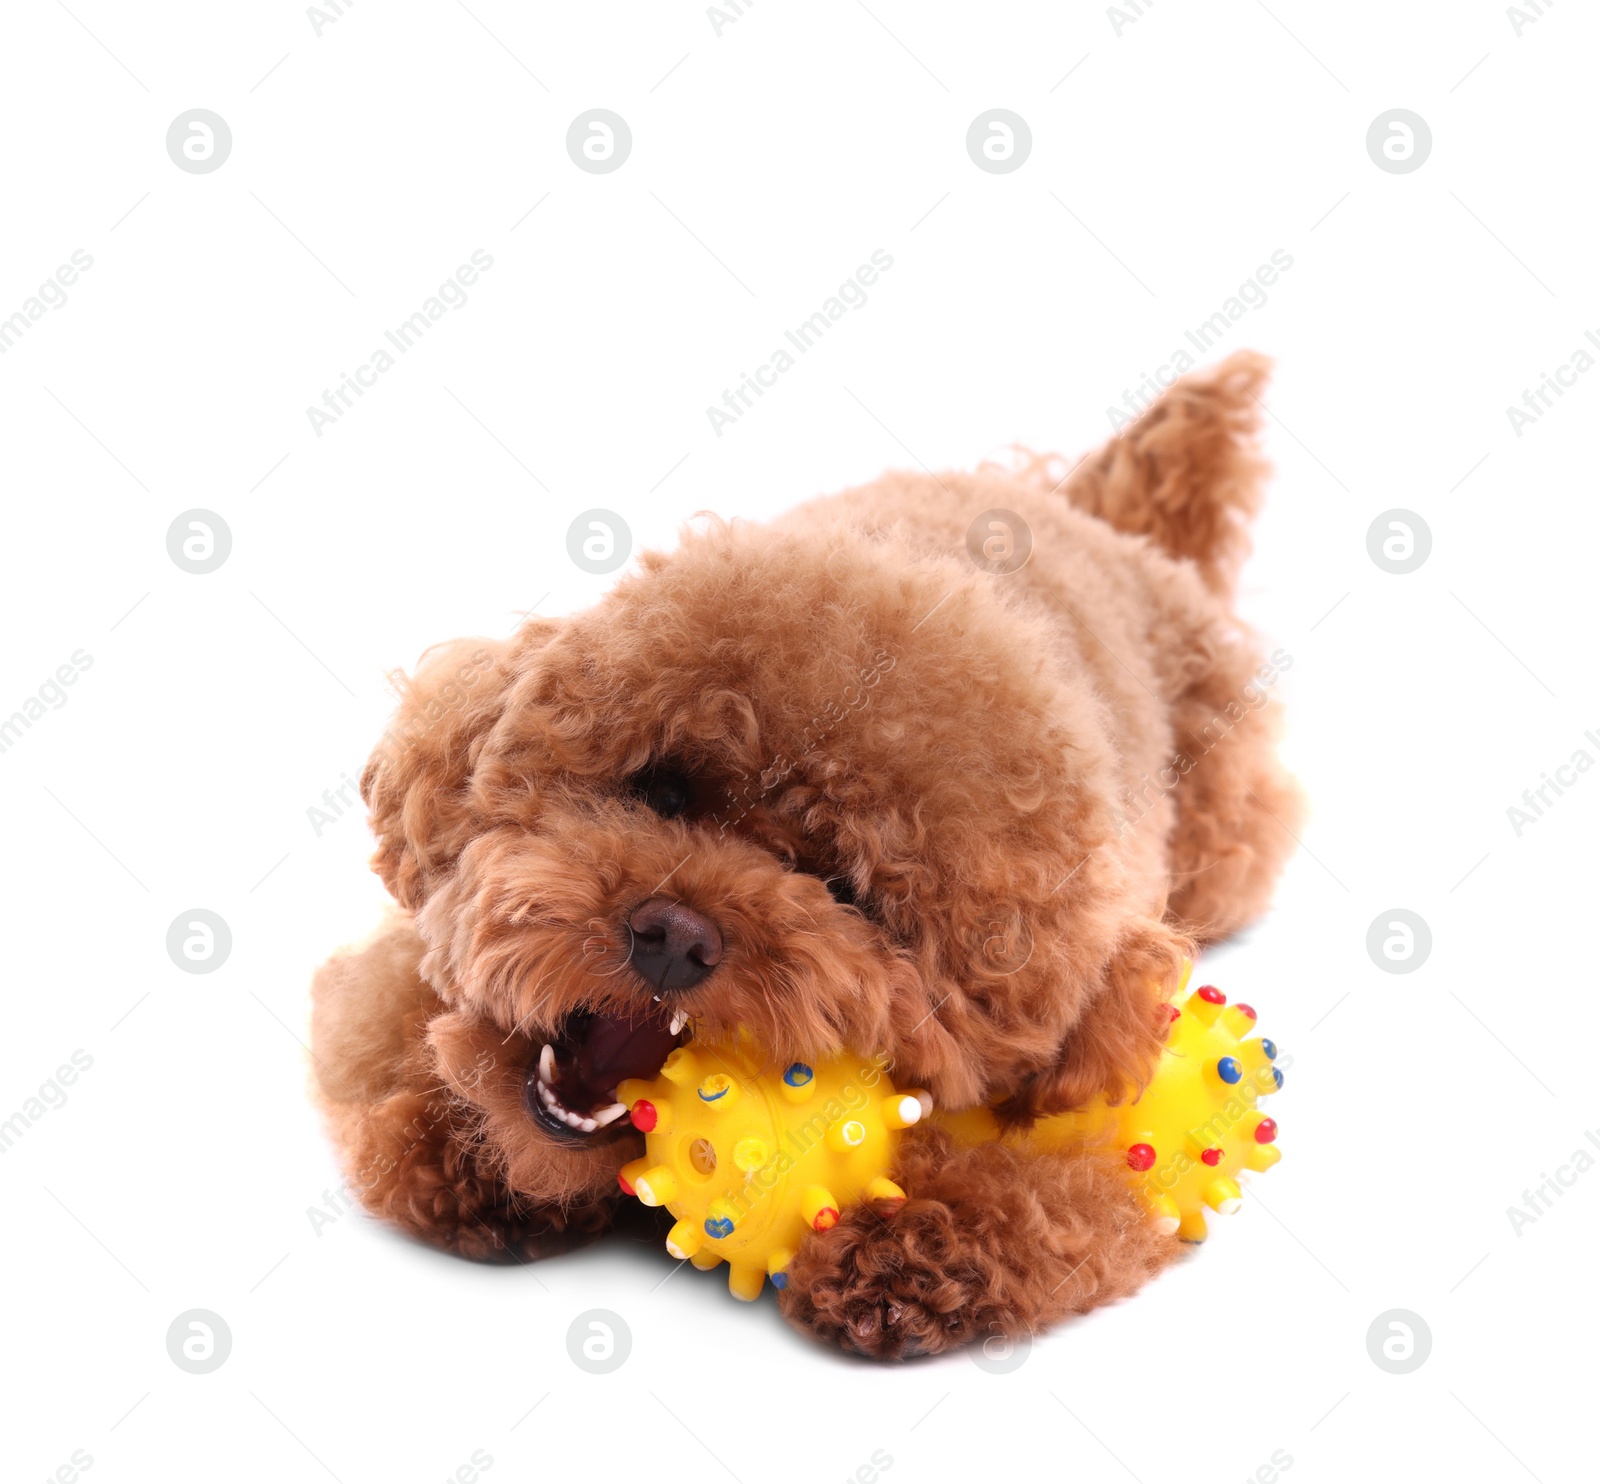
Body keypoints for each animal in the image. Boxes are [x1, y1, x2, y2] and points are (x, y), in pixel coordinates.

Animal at [308, 348, 1299, 1356]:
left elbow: (1070, 1198)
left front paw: (911, 1245)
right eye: (666, 790)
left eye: (843, 891)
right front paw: (451, 1138)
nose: (674, 936)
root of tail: (1091, 516)